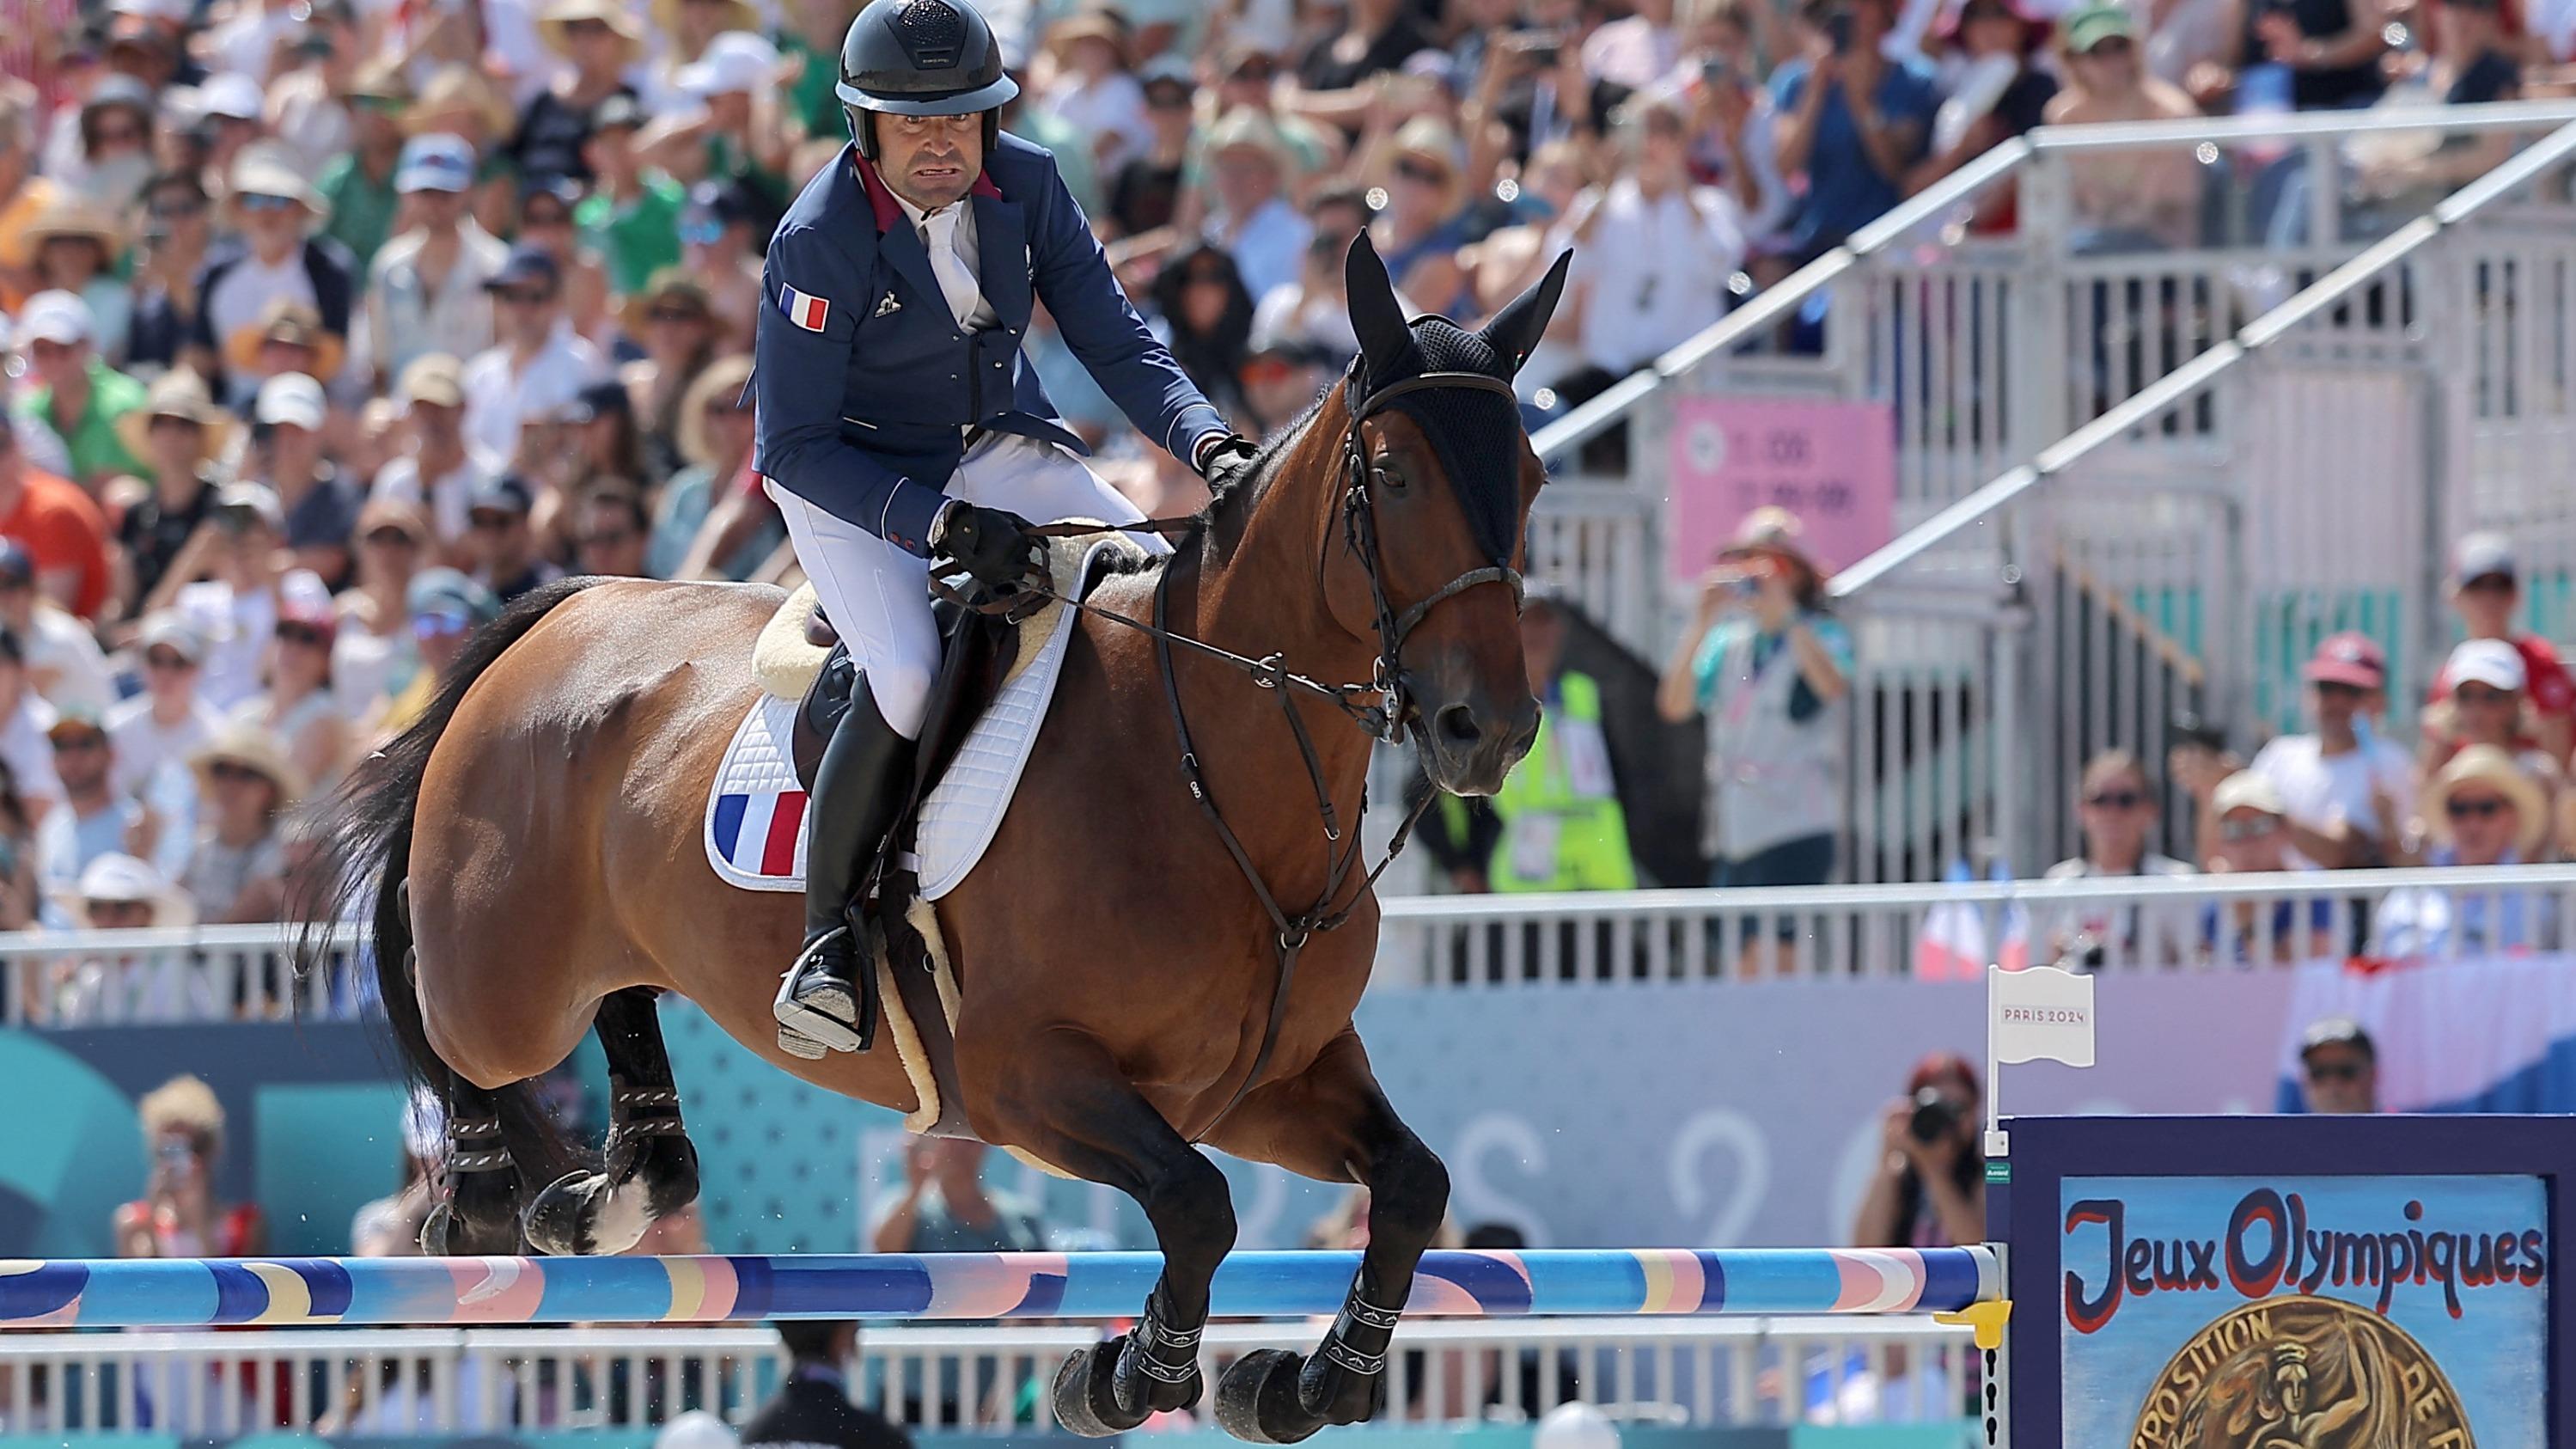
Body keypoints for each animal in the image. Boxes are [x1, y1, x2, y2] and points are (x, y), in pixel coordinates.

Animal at [292, 237, 1555, 1434]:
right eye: (1392, 476)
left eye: (1533, 476)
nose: (1487, 729)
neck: (1211, 779)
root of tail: (566, 605)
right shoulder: (1027, 1076)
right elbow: (1198, 1206)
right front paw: (1127, 1373)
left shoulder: (1261, 1081)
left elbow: (1410, 1182)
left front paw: (1309, 1382)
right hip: (507, 983)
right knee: (446, 1009)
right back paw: (482, 1193)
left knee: (622, 1011)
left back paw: (613, 1191)